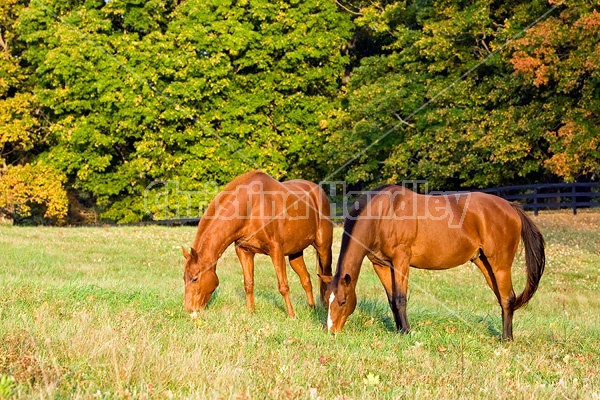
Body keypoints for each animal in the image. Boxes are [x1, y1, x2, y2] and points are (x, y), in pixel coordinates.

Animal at [182, 170, 332, 318]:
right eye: (184, 278)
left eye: (195, 278)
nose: (189, 309)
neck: (252, 207)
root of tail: (318, 191)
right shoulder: (244, 251)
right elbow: (248, 284)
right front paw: (251, 312)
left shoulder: (276, 251)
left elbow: (283, 286)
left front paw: (292, 315)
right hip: (295, 253)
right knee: (306, 279)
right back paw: (312, 308)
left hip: (323, 248)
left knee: (327, 276)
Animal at [326, 186, 548, 340]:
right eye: (326, 300)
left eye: (343, 301)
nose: (331, 331)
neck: (383, 213)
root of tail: (510, 206)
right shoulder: (381, 264)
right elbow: (392, 300)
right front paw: (399, 331)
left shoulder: (401, 260)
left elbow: (400, 299)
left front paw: (406, 332)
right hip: (485, 263)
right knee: (503, 298)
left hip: (500, 265)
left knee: (507, 298)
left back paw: (506, 339)